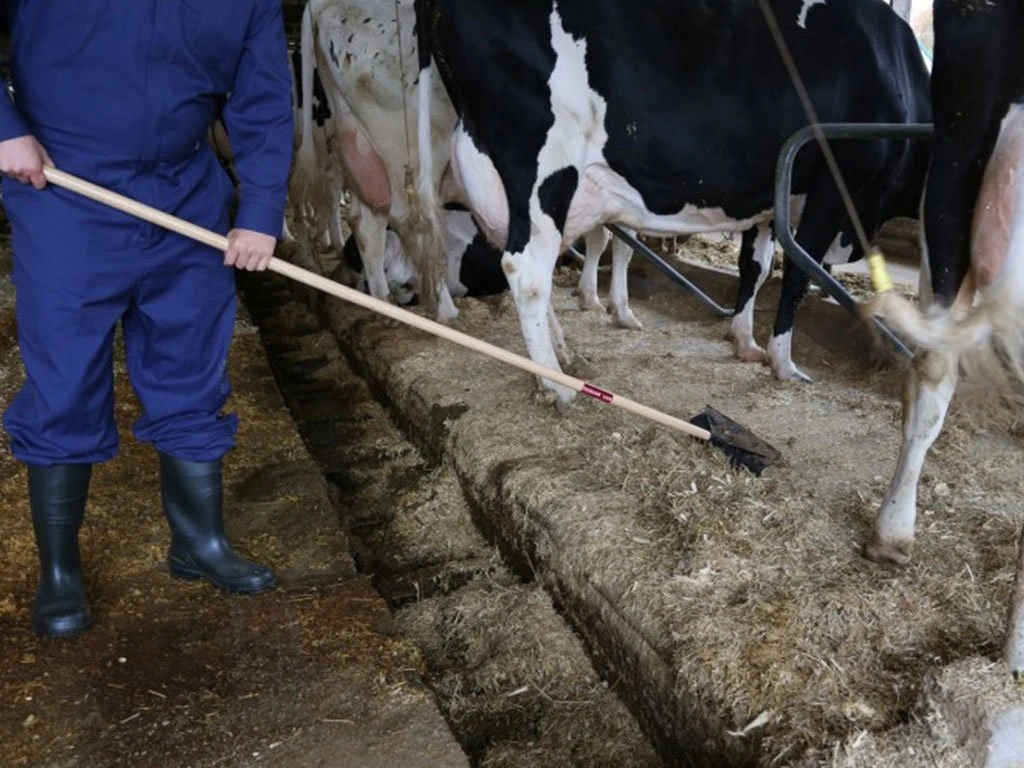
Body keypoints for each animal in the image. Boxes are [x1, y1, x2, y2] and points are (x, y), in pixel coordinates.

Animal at [410, 0, 931, 401]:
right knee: (527, 270)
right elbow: (797, 277)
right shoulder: (833, 190)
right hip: (540, 168)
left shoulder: (768, 200)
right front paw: (783, 363)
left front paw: (744, 342)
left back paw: (563, 355)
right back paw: (555, 384)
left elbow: (756, 268)